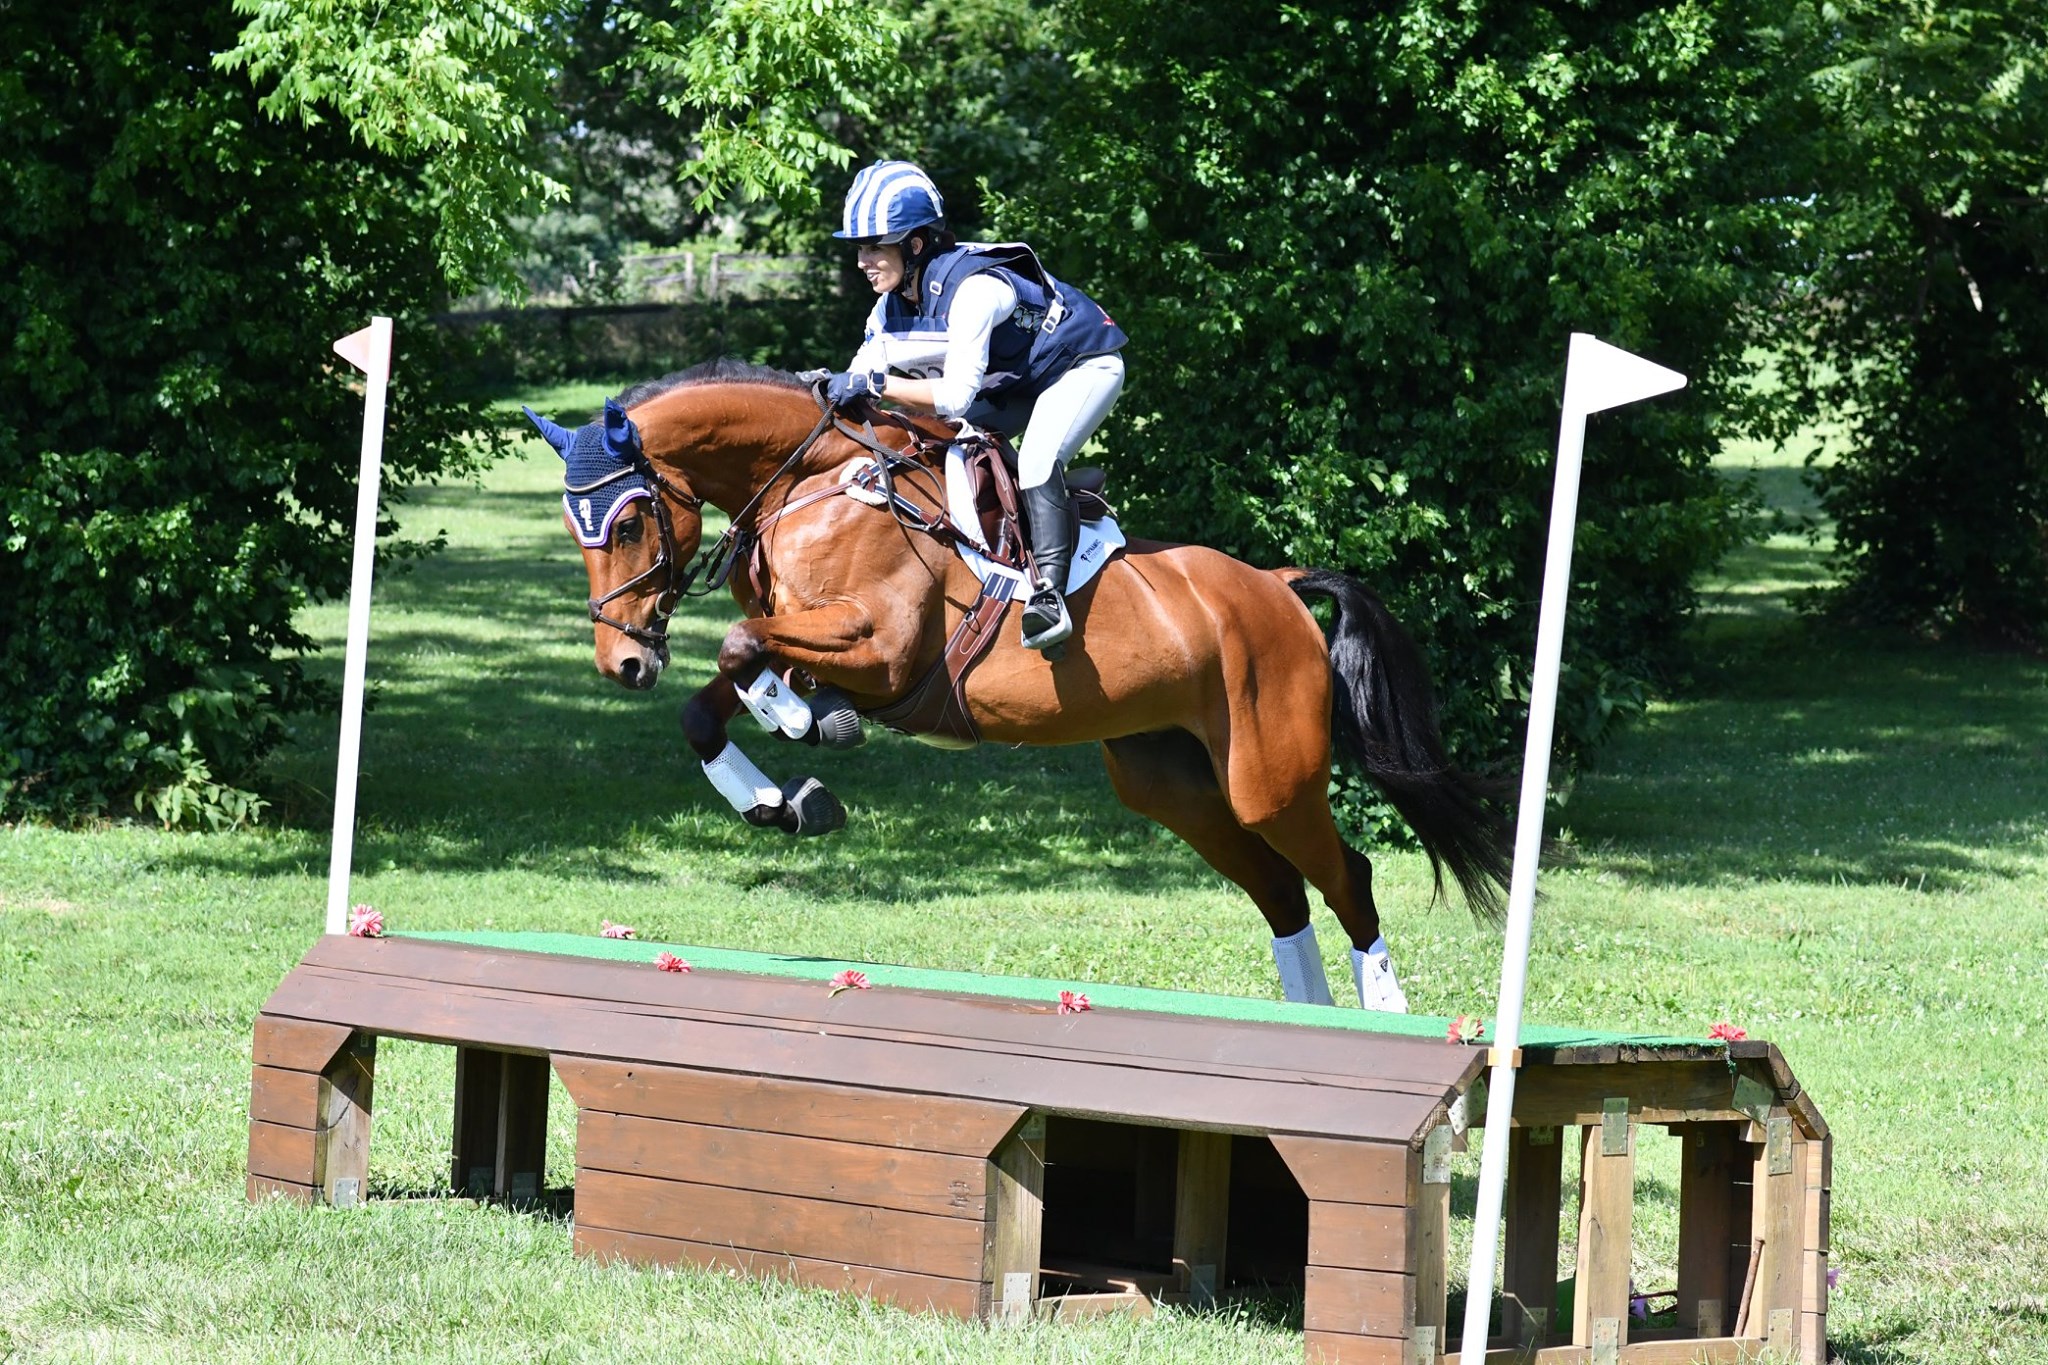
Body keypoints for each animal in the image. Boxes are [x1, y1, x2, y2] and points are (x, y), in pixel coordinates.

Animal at [524, 358, 1523, 1010]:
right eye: (575, 528)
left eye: (627, 519)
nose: (623, 664)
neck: (813, 482)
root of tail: (1275, 586)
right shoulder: (816, 646)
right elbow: (715, 699)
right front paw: (784, 794)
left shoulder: (880, 652)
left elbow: (739, 646)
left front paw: (811, 732)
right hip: (1174, 784)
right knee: (1279, 891)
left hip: (1268, 779)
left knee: (1347, 876)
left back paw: (1382, 1019)